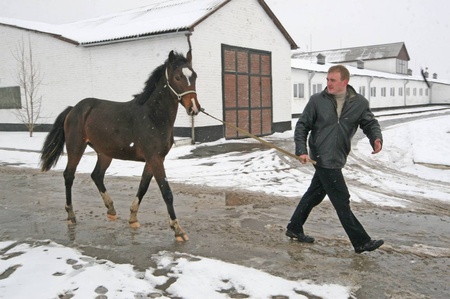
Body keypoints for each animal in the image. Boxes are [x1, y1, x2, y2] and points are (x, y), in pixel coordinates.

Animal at [38, 50, 200, 243]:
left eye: (195, 76)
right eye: (177, 77)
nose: (194, 108)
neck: (152, 116)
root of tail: (73, 109)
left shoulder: (153, 160)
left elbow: (143, 187)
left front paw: (133, 219)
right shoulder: (155, 159)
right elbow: (166, 192)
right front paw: (178, 230)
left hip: (105, 153)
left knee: (97, 175)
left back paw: (111, 210)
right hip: (76, 148)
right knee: (69, 176)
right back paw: (71, 215)